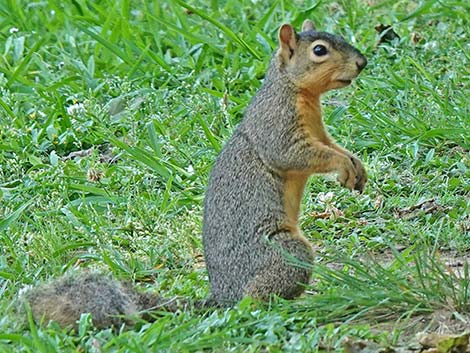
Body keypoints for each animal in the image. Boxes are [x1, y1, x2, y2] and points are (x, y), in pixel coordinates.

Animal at [23, 19, 368, 328]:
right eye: (319, 50)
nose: (362, 62)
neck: (297, 91)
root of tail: (223, 297)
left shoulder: (319, 132)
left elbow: (331, 147)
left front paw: (355, 165)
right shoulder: (277, 124)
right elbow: (294, 154)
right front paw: (342, 166)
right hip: (282, 253)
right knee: (254, 300)